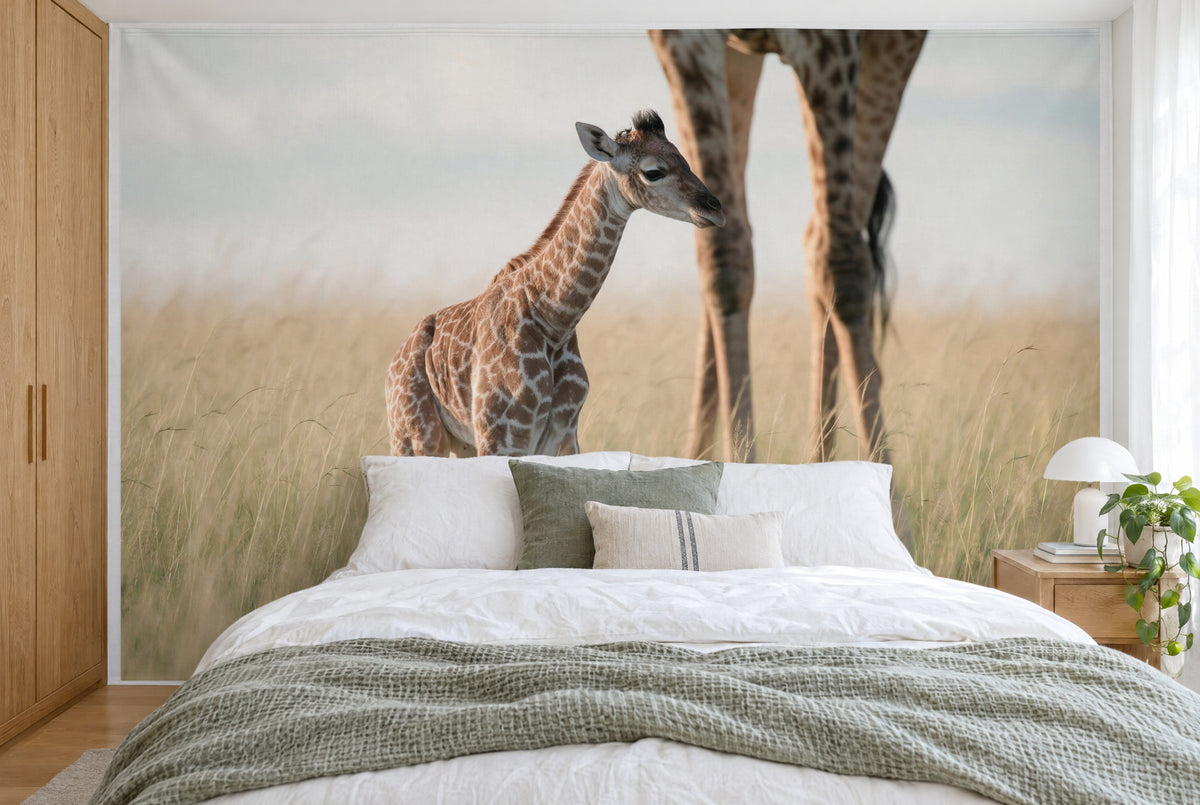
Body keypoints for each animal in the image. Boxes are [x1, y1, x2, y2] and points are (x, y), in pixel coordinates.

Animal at [386, 110, 725, 458]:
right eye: (653, 172)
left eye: (684, 159)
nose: (714, 208)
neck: (554, 319)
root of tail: (393, 365)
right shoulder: (503, 435)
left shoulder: (563, 435)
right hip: (417, 437)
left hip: (460, 443)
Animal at [650, 29, 926, 464]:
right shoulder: (683, 40)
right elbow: (723, 258)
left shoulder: (834, 43)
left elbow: (842, 264)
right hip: (742, 59)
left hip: (891, 49)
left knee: (833, 244)